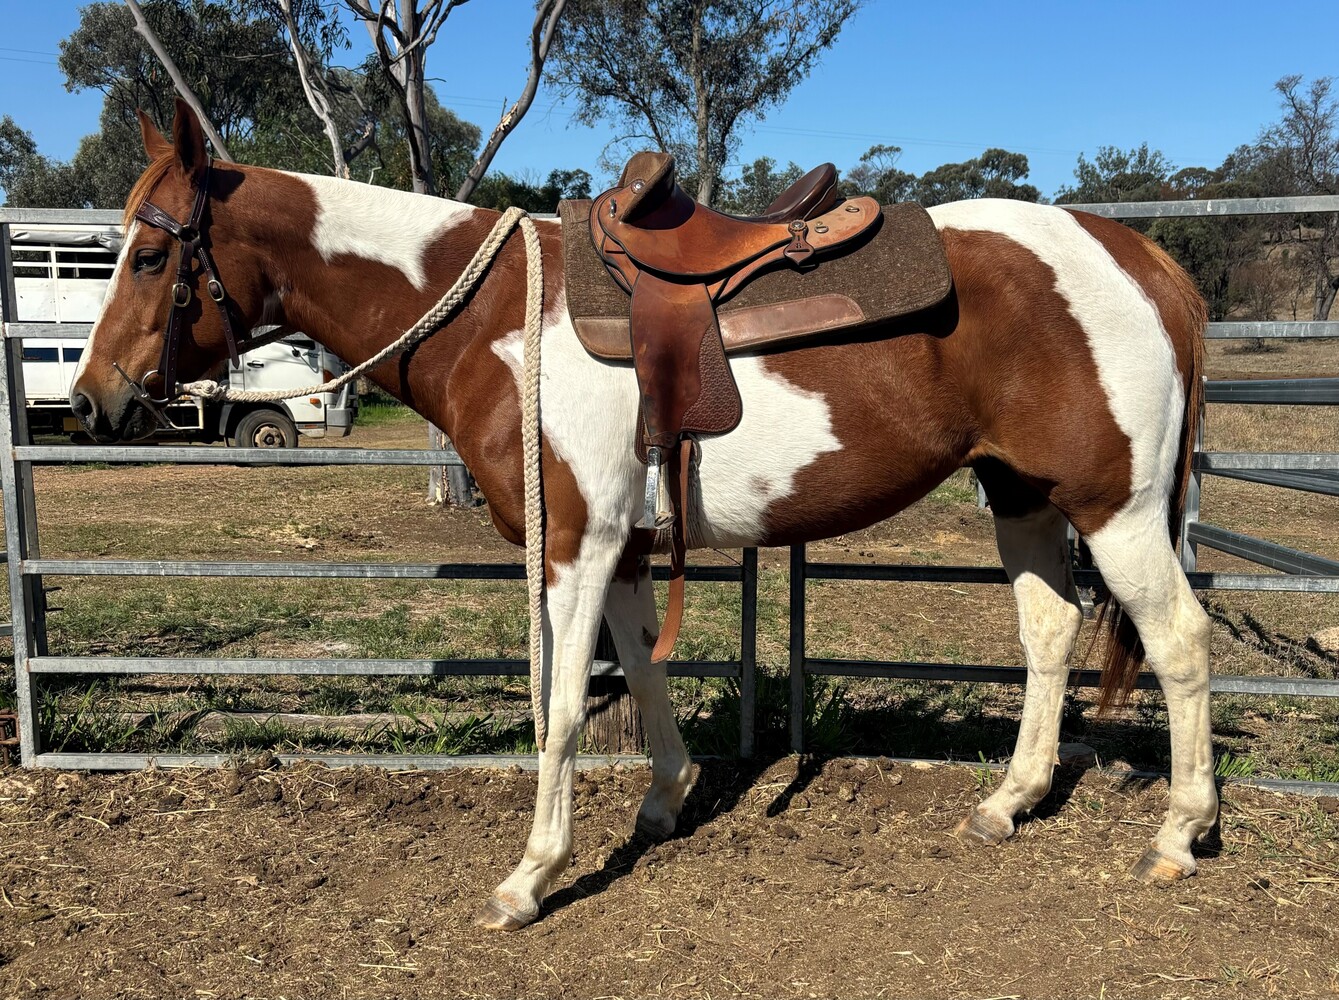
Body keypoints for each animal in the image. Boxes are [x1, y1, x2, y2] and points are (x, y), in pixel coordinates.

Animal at [73, 101, 1216, 930]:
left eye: (148, 256)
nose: (93, 400)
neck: (499, 320)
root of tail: (1138, 257)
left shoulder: (571, 549)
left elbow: (566, 705)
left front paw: (531, 874)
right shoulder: (618, 549)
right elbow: (643, 671)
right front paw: (665, 798)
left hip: (1114, 508)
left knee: (1179, 641)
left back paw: (1177, 834)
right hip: (1020, 496)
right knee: (1050, 631)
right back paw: (1006, 802)